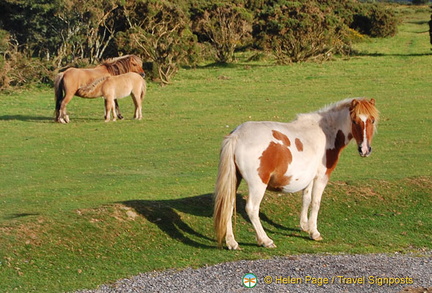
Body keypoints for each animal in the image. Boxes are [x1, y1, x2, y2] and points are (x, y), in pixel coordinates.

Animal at [214, 98, 380, 249]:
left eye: (371, 120)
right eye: (355, 121)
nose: (365, 150)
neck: (327, 131)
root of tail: (237, 136)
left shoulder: (309, 178)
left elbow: (306, 199)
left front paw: (304, 226)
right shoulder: (321, 177)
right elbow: (315, 203)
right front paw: (314, 232)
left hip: (234, 180)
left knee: (228, 206)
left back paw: (232, 242)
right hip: (258, 185)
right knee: (252, 209)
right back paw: (265, 240)